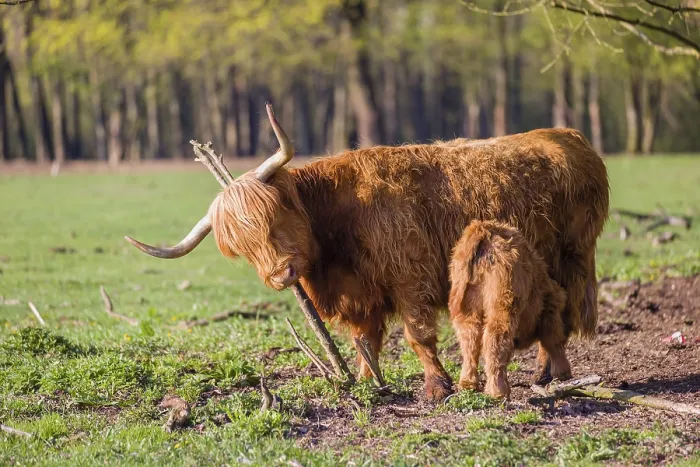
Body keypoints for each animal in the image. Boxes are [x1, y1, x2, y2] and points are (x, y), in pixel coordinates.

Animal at [448, 220, 570, 399]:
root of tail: (484, 229)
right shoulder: (550, 314)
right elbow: (554, 341)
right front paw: (563, 373)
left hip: (467, 309)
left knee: (470, 343)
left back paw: (468, 384)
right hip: (503, 306)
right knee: (495, 340)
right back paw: (498, 391)